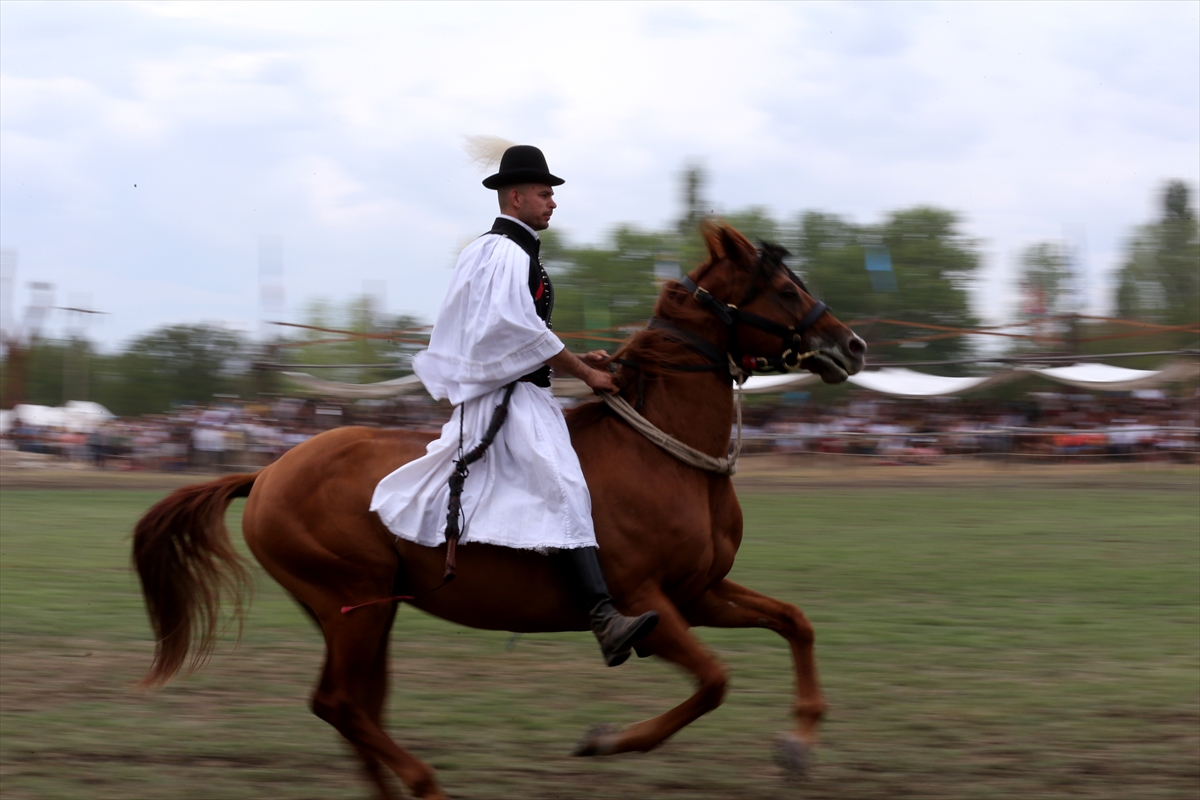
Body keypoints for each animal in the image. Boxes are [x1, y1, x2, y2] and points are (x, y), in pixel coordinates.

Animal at [133, 224, 864, 800]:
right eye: (787, 291)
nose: (852, 345)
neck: (664, 453)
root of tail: (266, 472)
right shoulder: (647, 601)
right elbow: (713, 680)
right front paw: (606, 741)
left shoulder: (700, 591)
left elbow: (795, 623)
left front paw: (799, 740)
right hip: (352, 605)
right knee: (339, 703)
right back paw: (426, 784)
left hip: (360, 611)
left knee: (353, 707)